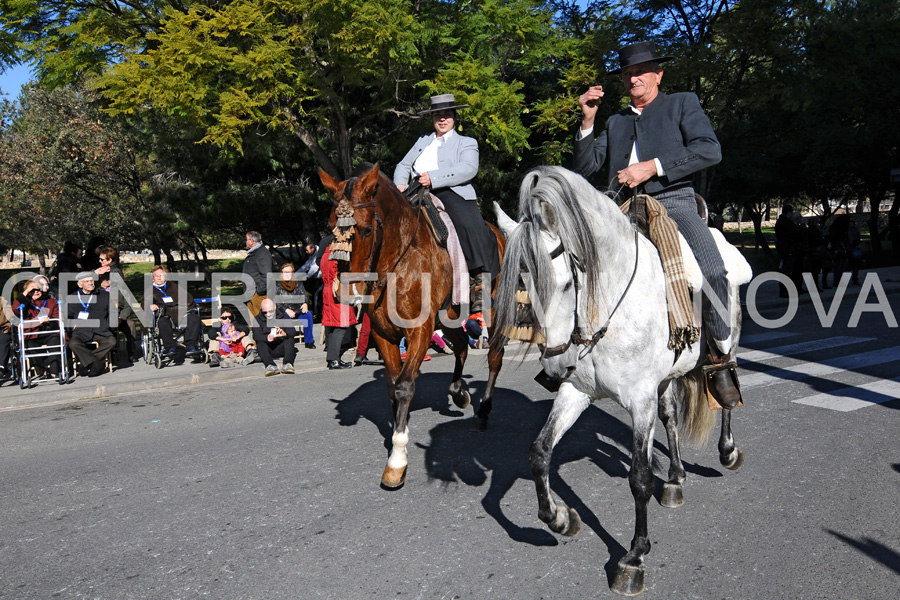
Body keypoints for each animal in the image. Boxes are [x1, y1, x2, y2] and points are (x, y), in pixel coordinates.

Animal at [320, 163, 506, 488]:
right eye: (332, 227)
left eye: (365, 229)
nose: (345, 291)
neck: (398, 261)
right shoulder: (383, 333)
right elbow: (392, 386)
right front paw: (399, 437)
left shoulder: (419, 329)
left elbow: (405, 386)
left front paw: (396, 460)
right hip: (450, 315)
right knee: (461, 346)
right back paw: (458, 392)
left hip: (493, 310)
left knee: (494, 355)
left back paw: (483, 411)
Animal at [492, 166, 752, 596]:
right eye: (524, 283)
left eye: (566, 282)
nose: (554, 366)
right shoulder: (578, 392)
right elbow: (540, 452)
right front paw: (561, 518)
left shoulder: (639, 400)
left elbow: (639, 477)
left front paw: (634, 556)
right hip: (665, 380)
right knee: (670, 415)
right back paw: (676, 478)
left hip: (727, 337)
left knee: (725, 378)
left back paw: (728, 448)